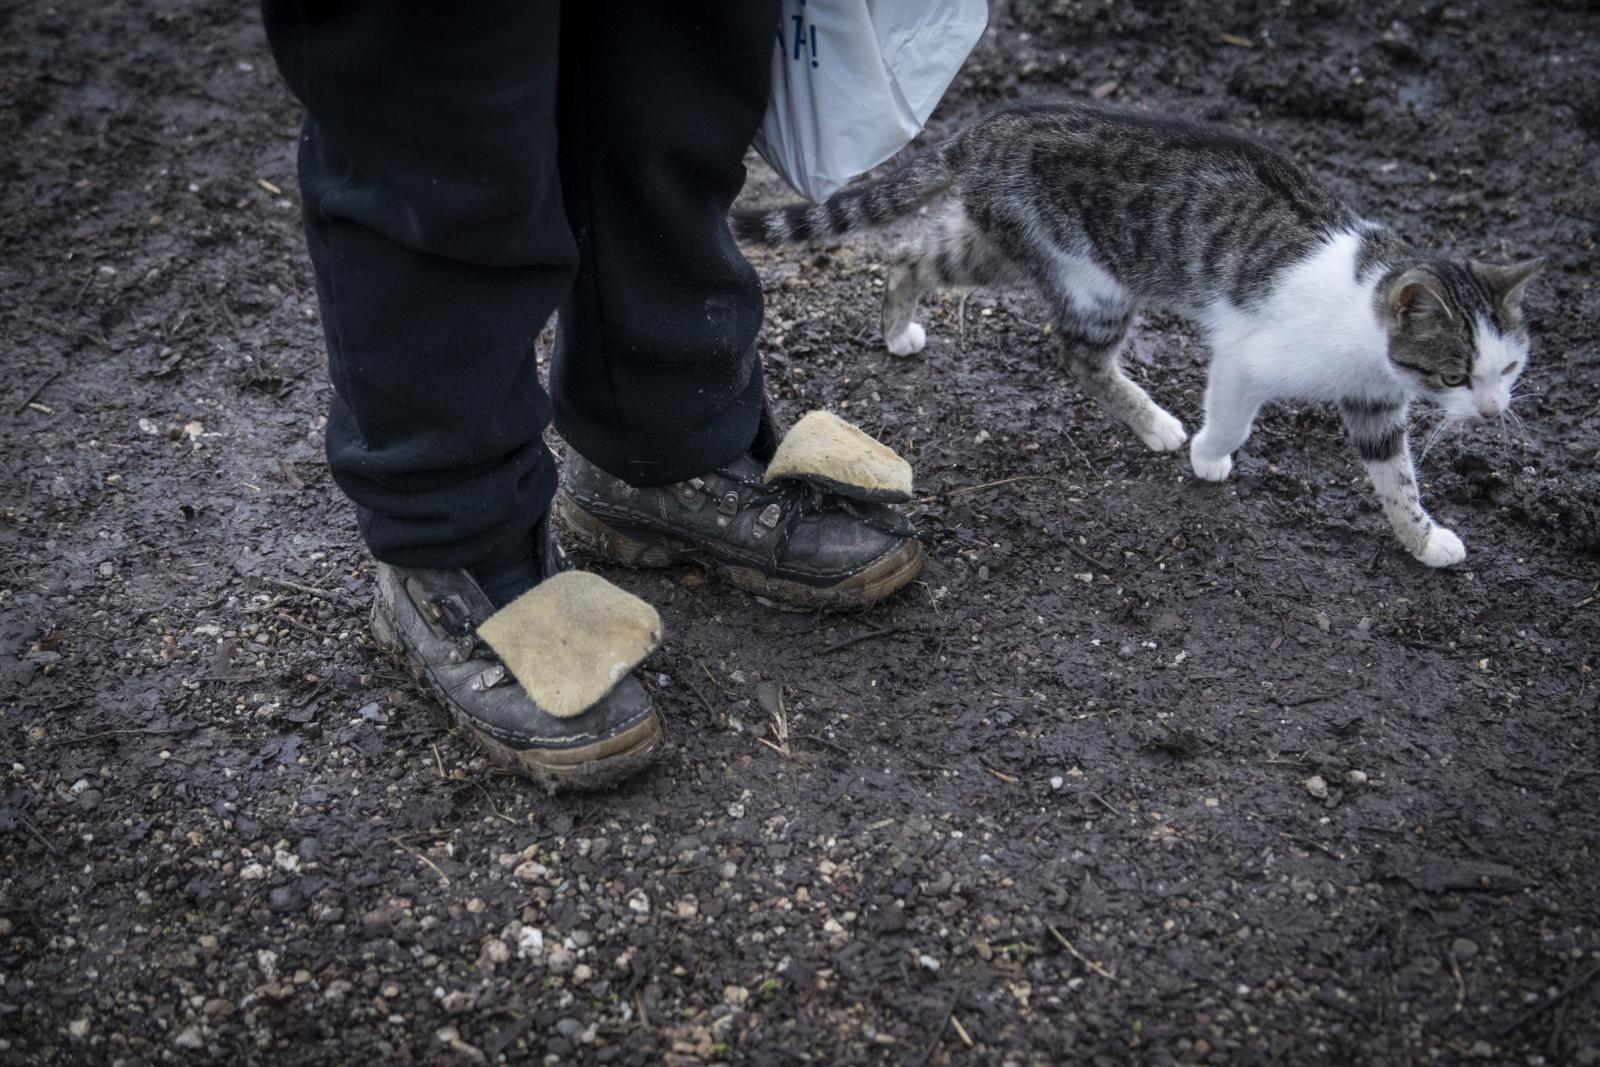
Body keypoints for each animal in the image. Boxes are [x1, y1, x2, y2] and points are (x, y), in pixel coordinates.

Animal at [732, 102, 1536, 566]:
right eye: (1457, 373)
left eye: (1509, 370)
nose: (1493, 410)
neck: (1369, 331)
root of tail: (985, 129)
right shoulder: (1246, 357)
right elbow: (1232, 414)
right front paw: (1210, 455)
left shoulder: (1375, 407)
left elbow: (1397, 479)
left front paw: (1424, 539)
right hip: (1092, 280)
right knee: (1076, 357)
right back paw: (1154, 424)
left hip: (996, 242)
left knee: (910, 254)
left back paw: (899, 329)